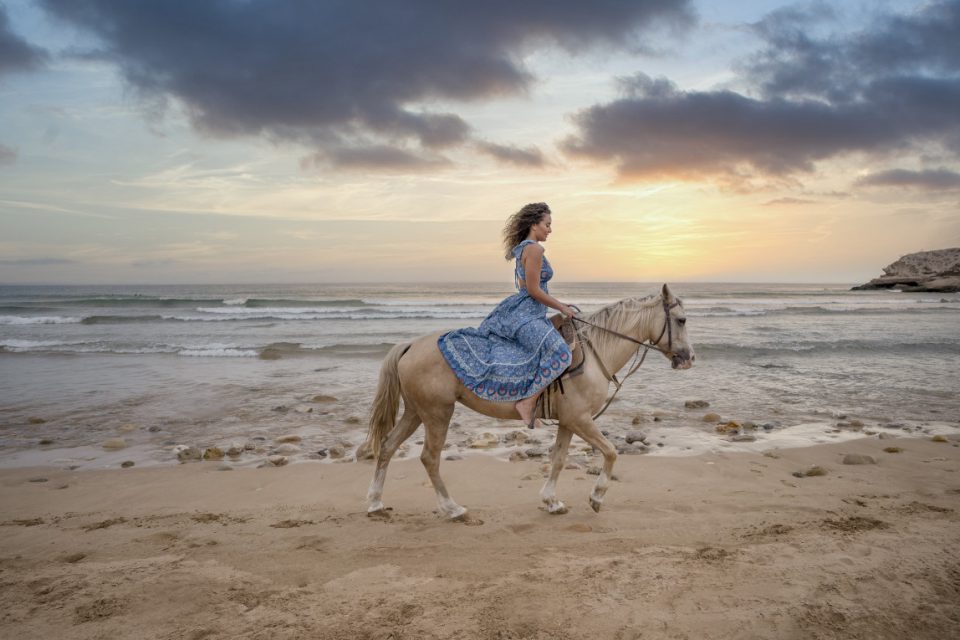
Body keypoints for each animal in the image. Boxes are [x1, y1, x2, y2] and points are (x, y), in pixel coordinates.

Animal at [356, 284, 692, 520]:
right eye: (681, 320)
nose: (688, 358)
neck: (595, 352)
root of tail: (411, 345)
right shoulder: (581, 420)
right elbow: (610, 452)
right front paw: (596, 498)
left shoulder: (569, 421)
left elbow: (558, 459)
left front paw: (552, 502)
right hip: (437, 413)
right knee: (429, 458)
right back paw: (452, 509)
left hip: (416, 412)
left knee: (387, 447)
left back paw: (375, 503)